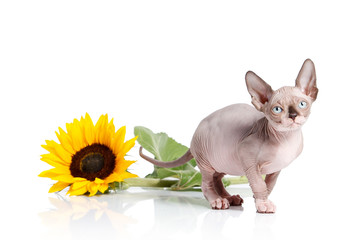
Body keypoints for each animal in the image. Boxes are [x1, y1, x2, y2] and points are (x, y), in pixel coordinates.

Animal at [139, 59, 318, 213]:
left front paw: (260, 199)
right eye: (277, 109)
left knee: (217, 179)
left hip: (222, 161)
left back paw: (230, 198)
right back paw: (217, 200)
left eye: (302, 104)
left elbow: (269, 185)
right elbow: (259, 184)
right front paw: (263, 203)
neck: (286, 139)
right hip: (206, 160)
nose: (293, 115)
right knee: (206, 183)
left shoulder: (276, 169)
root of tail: (195, 134)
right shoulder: (247, 157)